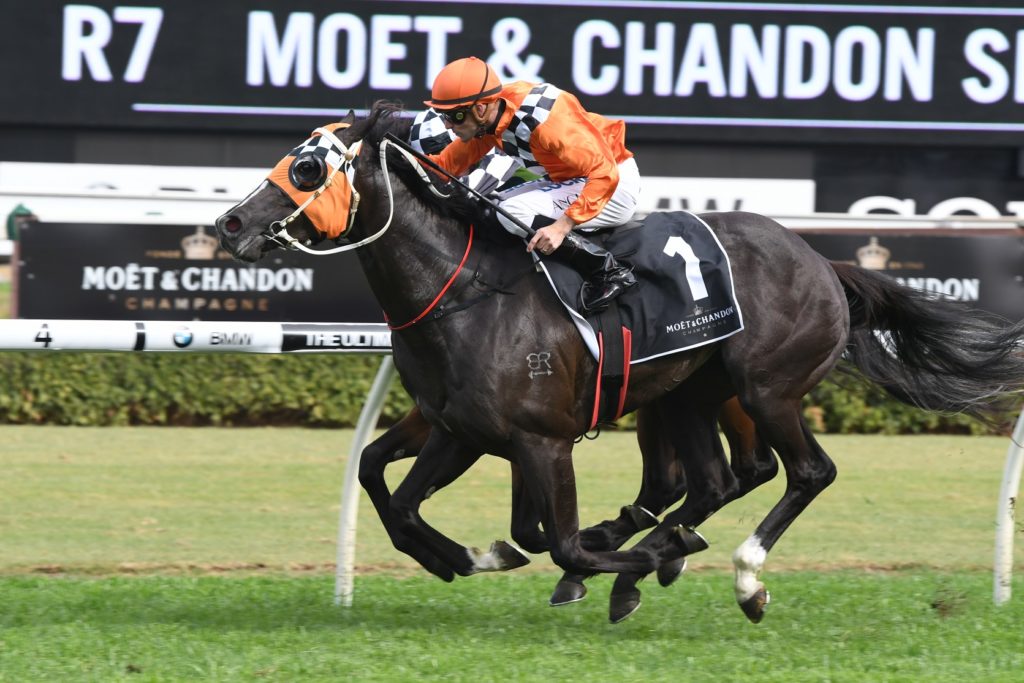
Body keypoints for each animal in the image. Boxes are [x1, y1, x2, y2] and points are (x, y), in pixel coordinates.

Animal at [215, 103, 1024, 623]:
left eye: (308, 166)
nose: (228, 223)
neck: (462, 287)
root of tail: (824, 261)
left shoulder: (541, 440)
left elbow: (561, 540)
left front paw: (616, 564)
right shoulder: (458, 427)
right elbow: (397, 496)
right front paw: (467, 556)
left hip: (767, 389)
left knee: (804, 472)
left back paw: (738, 576)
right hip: (691, 395)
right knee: (717, 477)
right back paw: (660, 546)